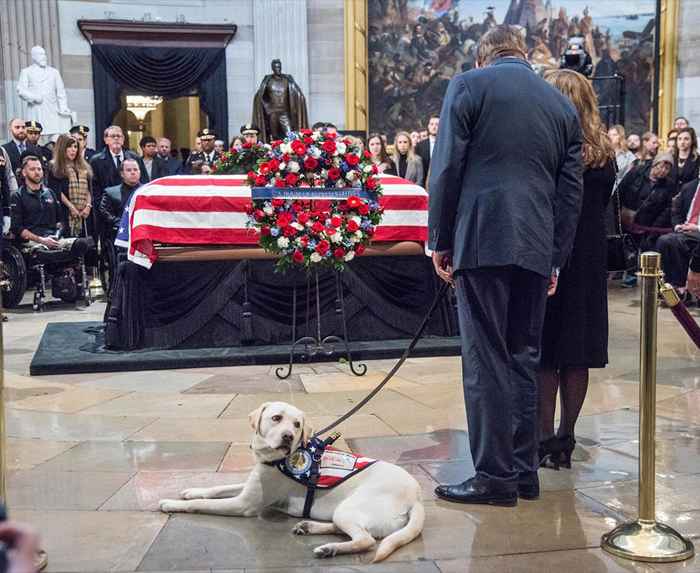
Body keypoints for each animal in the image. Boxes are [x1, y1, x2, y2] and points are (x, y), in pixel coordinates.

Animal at [160, 400, 422, 560]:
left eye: (297, 425)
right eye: (276, 418)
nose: (287, 436)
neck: (274, 460)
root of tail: (417, 498)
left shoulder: (244, 504)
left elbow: (202, 504)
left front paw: (171, 504)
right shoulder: (250, 485)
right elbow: (217, 488)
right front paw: (191, 490)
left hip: (350, 508)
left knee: (366, 541)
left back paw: (328, 549)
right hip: (344, 512)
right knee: (347, 529)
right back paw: (309, 528)